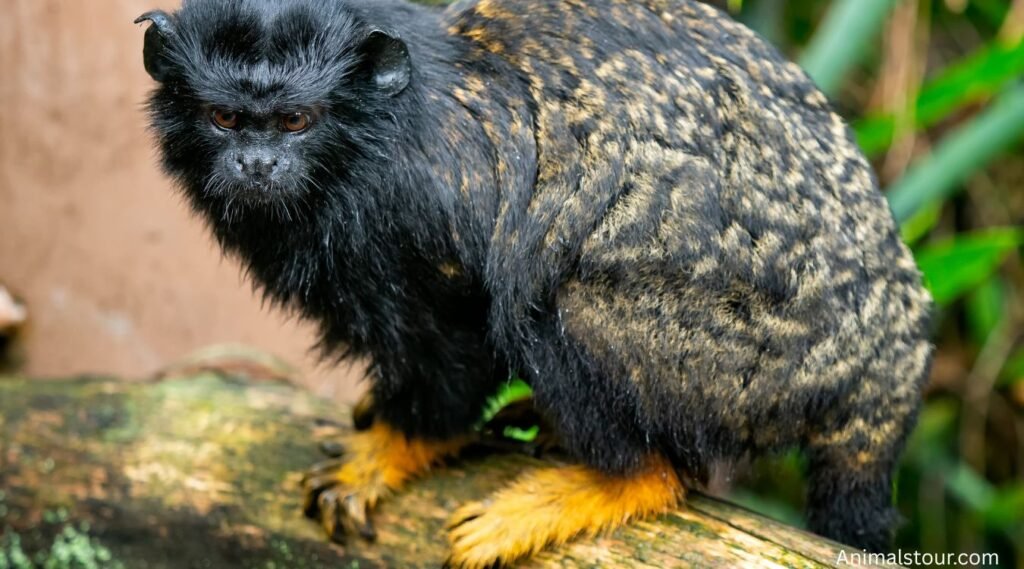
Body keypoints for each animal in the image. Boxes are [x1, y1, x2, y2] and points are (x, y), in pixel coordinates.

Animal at [136, 0, 933, 566]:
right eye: (226, 118)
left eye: (296, 121)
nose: (256, 165)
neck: (366, 139)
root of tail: (886, 376)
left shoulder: (412, 203)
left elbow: (458, 342)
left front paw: (389, 449)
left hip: (751, 362)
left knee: (549, 300)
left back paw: (615, 480)